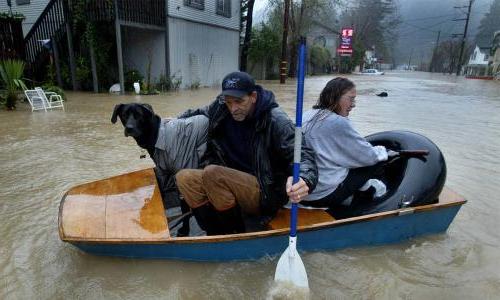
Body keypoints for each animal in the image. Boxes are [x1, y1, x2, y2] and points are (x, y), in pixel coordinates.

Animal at [112, 103, 192, 237]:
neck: (157, 133)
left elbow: (186, 206)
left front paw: (184, 230)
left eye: (138, 115)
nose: (129, 128)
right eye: (124, 115)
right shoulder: (163, 174)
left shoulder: (181, 172)